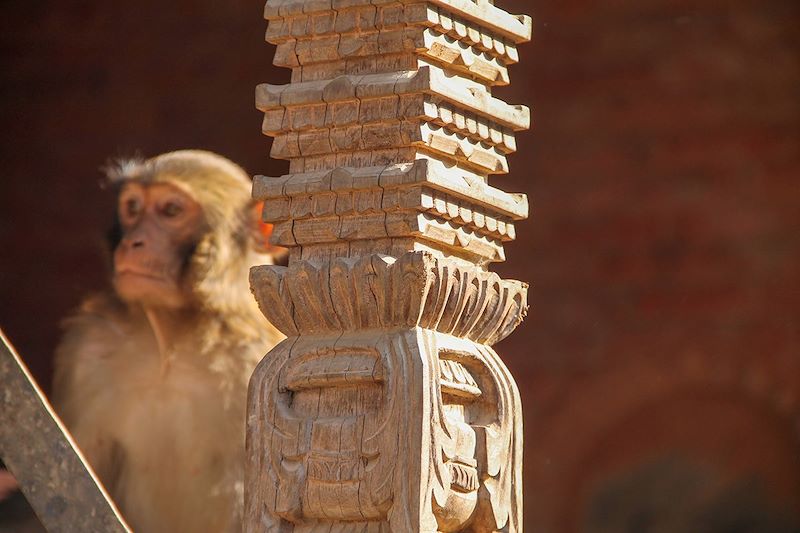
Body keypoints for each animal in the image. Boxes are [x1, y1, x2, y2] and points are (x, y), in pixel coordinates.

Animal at [50, 150, 282, 532]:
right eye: (132, 207)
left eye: (171, 210)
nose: (133, 242)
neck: (177, 339)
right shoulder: (87, 350)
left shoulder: (259, 360)